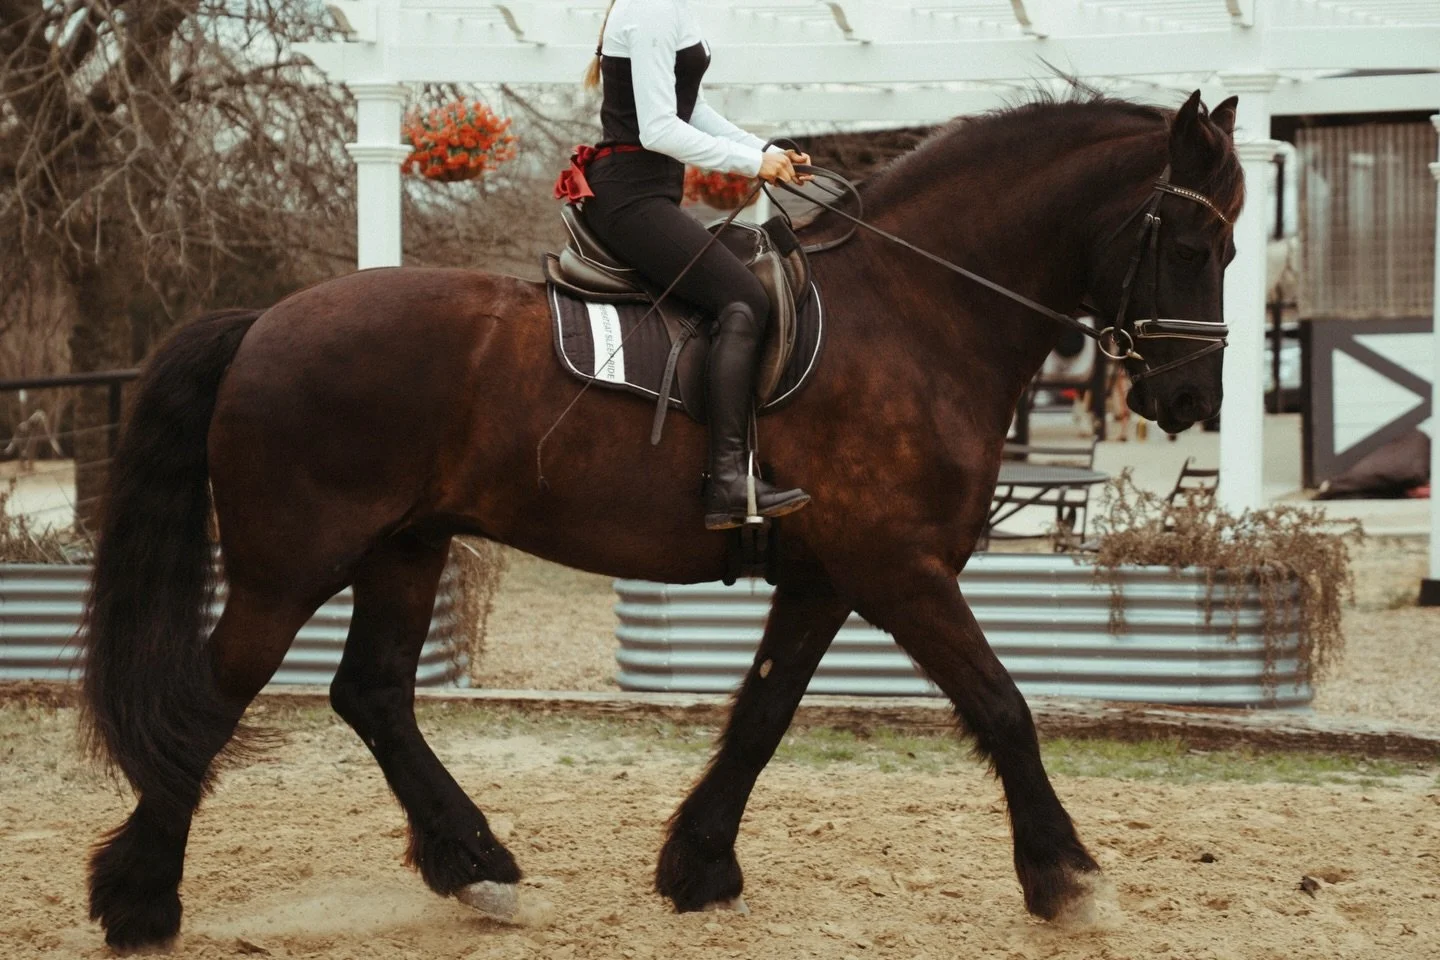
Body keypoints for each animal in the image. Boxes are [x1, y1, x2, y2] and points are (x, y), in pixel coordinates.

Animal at [80, 90, 1243, 949]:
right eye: (1191, 240)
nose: (1193, 399)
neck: (918, 312)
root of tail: (263, 322)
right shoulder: (900, 569)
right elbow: (1003, 706)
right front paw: (1067, 880)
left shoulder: (827, 578)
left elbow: (763, 715)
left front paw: (700, 864)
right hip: (291, 562)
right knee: (212, 696)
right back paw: (140, 901)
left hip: (406, 547)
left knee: (371, 695)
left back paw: (479, 870)